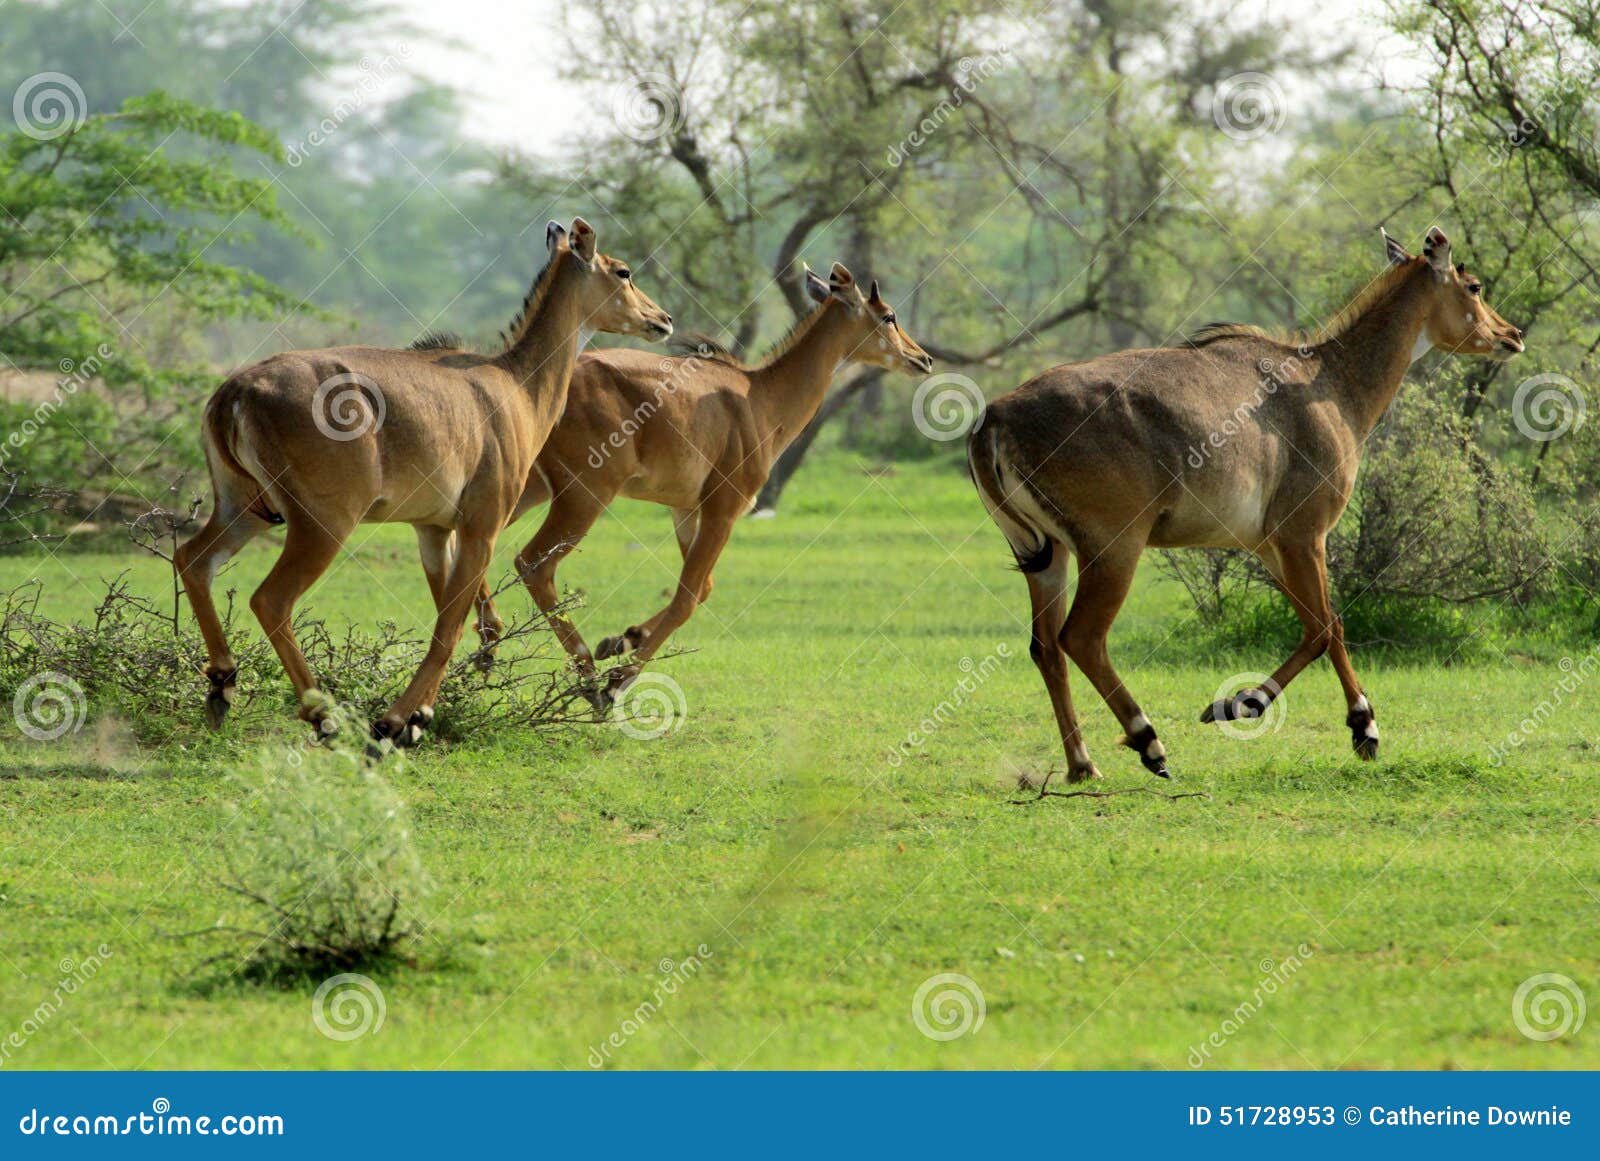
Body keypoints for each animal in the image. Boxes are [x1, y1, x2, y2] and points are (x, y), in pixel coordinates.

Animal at [176, 219, 675, 745]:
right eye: (623, 271)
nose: (663, 319)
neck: (516, 385)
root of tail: (235, 392)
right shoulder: (481, 528)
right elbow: (452, 627)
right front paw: (399, 722)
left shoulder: (433, 530)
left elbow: (448, 619)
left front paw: (420, 714)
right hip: (322, 523)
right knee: (269, 599)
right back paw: (323, 716)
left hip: (244, 508)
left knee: (193, 560)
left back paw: (222, 686)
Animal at [464, 260, 934, 703]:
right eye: (888, 315)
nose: (923, 358)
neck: (760, 397)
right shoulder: (723, 509)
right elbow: (688, 597)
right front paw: (619, 678)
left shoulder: (685, 510)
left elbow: (702, 588)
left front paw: (620, 639)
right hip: (585, 493)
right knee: (532, 561)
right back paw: (588, 680)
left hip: (531, 485)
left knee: (480, 540)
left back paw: (490, 646)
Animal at [966, 230, 1529, 783]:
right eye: (1474, 286)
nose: (1513, 335)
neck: (1331, 382)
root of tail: (995, 416)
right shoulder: (1305, 534)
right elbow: (1325, 627)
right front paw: (1251, 705)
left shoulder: (1269, 546)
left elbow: (1325, 624)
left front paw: (1355, 726)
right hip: (1114, 549)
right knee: (1081, 639)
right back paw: (1149, 743)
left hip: (1048, 555)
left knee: (1045, 647)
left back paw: (1083, 765)